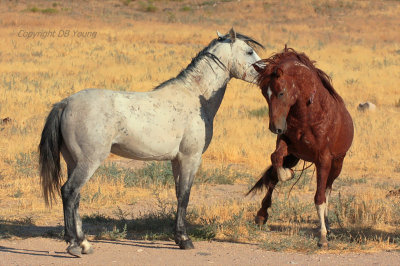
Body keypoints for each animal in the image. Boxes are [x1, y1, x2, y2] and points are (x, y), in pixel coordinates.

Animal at [39, 28, 264, 256]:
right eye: (249, 51)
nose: (266, 74)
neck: (194, 95)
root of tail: (66, 103)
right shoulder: (190, 158)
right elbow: (185, 195)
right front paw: (184, 240)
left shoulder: (177, 160)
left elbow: (178, 195)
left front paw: (178, 237)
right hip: (89, 161)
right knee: (69, 192)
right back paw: (74, 244)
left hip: (73, 161)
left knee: (75, 196)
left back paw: (84, 243)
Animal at [248, 47, 354, 247]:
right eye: (264, 94)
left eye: (281, 93)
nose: (275, 127)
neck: (309, 115)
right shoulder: (288, 148)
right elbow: (275, 160)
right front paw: (288, 175)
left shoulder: (324, 160)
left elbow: (319, 197)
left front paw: (322, 236)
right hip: (294, 158)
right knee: (273, 179)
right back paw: (261, 215)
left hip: (337, 164)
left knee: (327, 188)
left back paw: (327, 225)